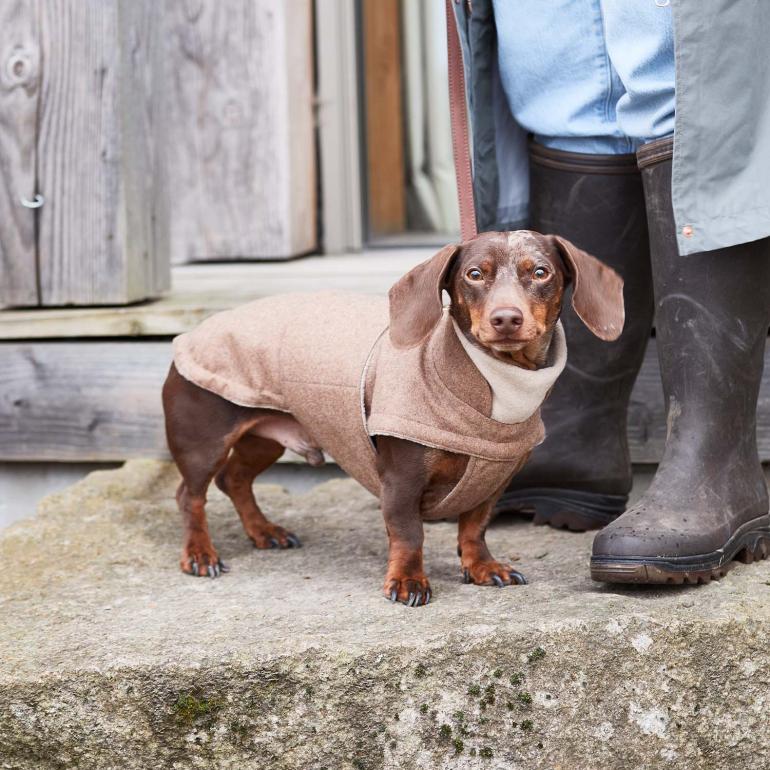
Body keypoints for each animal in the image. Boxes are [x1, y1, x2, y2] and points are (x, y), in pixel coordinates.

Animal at [162, 231, 624, 604]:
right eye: (474, 274)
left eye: (541, 272)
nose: (506, 319)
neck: (489, 388)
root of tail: (192, 333)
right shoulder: (402, 479)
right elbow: (408, 533)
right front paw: (407, 582)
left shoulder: (494, 480)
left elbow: (474, 527)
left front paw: (483, 567)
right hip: (204, 439)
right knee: (191, 495)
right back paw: (200, 554)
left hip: (266, 438)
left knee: (234, 479)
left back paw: (264, 531)